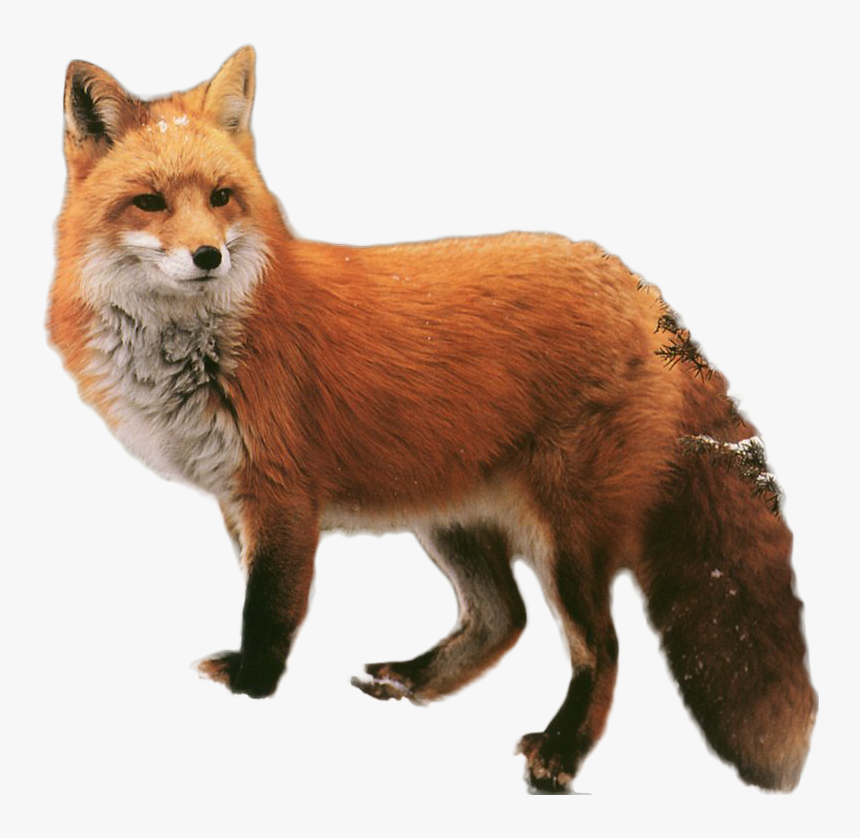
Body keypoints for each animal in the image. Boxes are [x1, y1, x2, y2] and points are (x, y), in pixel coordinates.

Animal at [48, 46, 816, 793]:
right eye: (149, 202)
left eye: (220, 197)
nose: (209, 255)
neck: (201, 346)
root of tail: (641, 290)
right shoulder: (237, 498)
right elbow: (262, 601)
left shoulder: (282, 495)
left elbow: (268, 613)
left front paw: (251, 695)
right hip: (448, 518)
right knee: (503, 618)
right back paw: (414, 681)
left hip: (564, 536)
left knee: (602, 646)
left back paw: (561, 753)